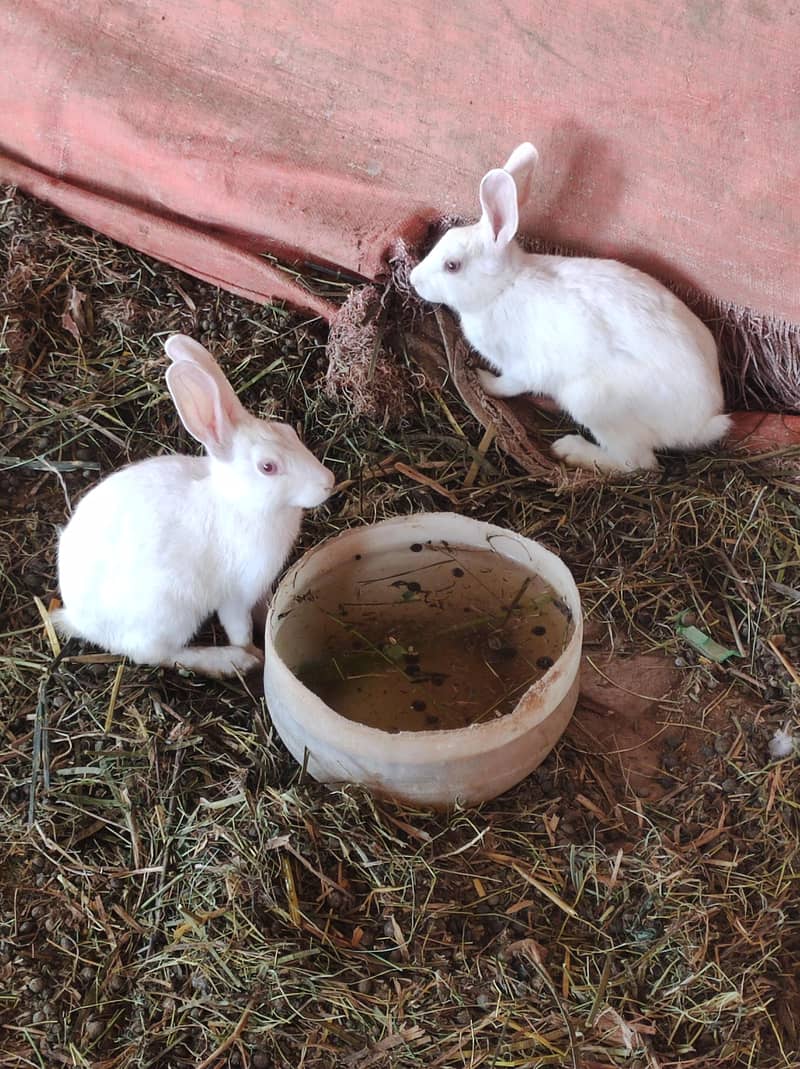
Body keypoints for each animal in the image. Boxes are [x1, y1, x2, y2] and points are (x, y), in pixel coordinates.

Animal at [51, 334, 335, 677]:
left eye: (288, 431)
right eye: (268, 467)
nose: (328, 482)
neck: (239, 502)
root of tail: (78, 620)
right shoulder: (235, 594)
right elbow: (239, 628)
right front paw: (254, 653)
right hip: (168, 612)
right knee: (156, 654)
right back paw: (229, 661)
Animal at [409, 142, 730, 472]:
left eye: (452, 266)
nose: (413, 279)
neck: (503, 288)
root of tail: (701, 424)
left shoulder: (524, 366)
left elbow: (508, 385)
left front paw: (482, 380)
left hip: (591, 401)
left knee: (637, 461)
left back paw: (570, 449)